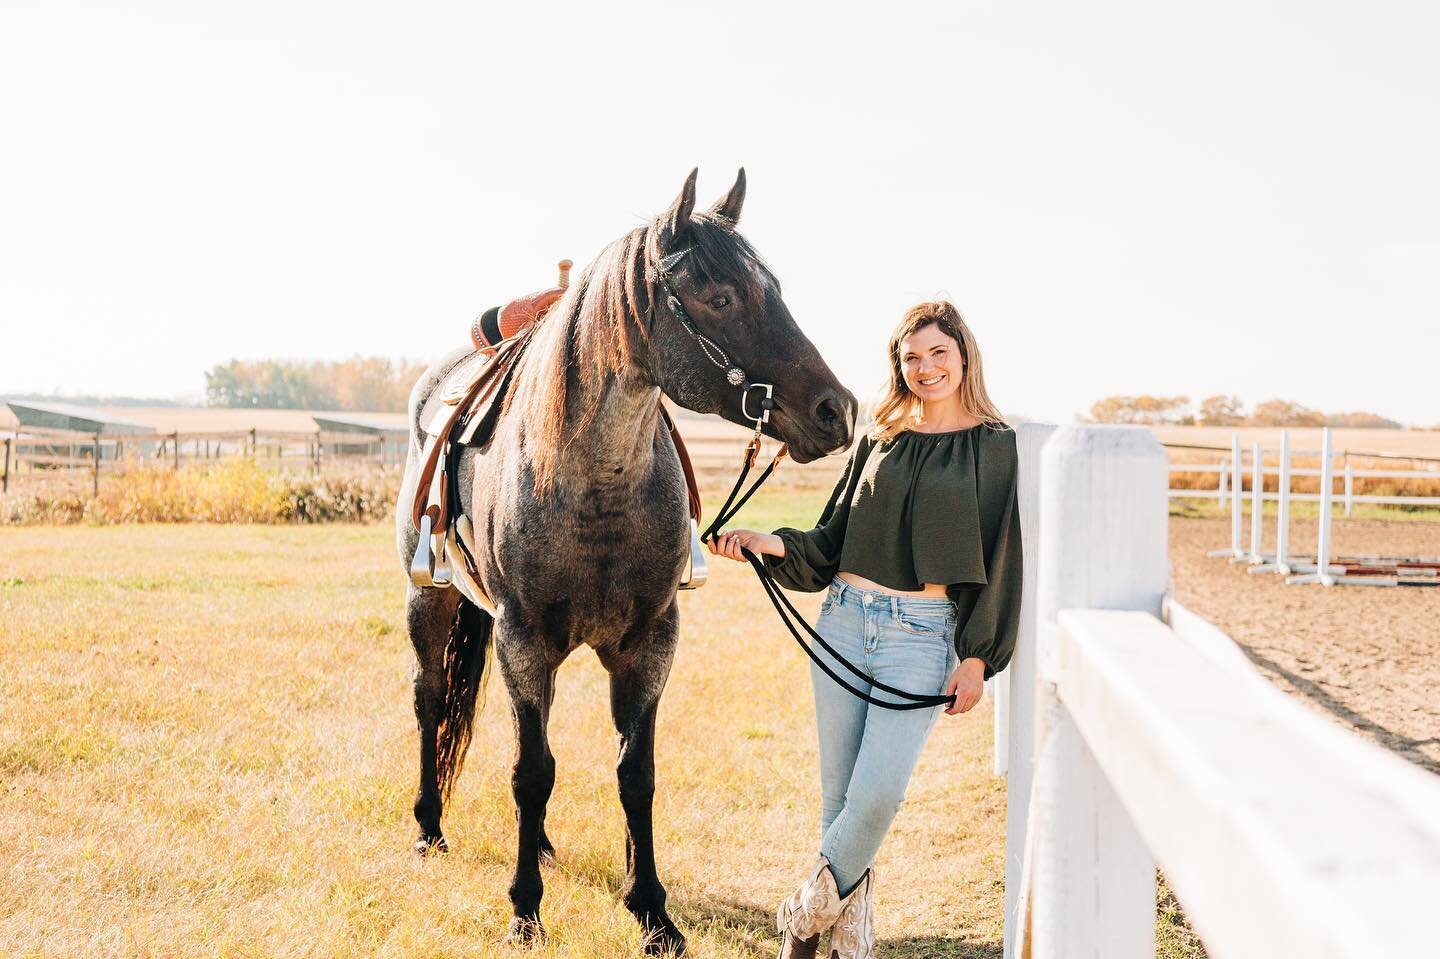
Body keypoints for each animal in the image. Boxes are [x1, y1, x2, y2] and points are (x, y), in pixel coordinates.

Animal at [394, 169, 852, 950]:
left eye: (775, 288)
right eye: (721, 296)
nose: (837, 409)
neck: (592, 480)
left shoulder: (649, 641)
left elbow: (633, 772)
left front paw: (653, 911)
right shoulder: (523, 641)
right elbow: (530, 772)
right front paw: (525, 909)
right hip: (430, 599)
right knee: (432, 699)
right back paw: (430, 828)